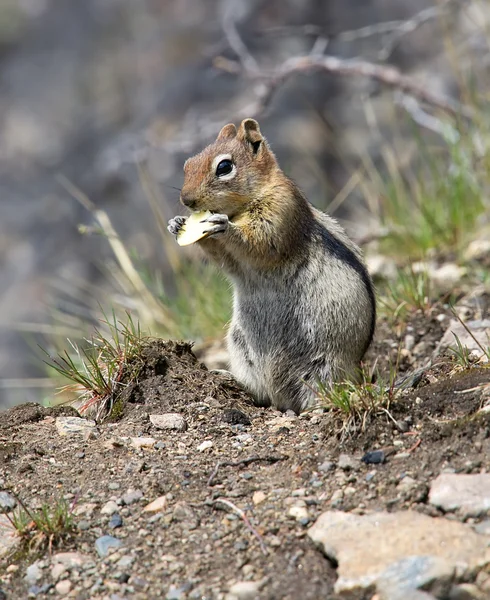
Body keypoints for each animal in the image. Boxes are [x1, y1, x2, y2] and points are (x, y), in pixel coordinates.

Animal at [168, 119, 376, 414]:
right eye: (188, 164)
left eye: (224, 167)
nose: (187, 200)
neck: (242, 207)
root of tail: (283, 400)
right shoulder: (234, 261)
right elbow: (227, 260)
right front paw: (176, 224)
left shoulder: (281, 210)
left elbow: (261, 242)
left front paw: (224, 227)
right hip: (241, 348)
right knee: (260, 392)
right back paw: (228, 378)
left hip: (327, 362)